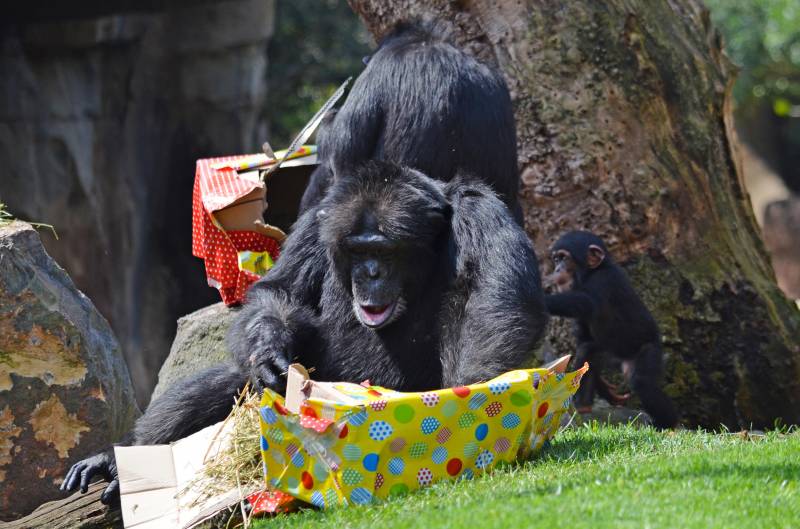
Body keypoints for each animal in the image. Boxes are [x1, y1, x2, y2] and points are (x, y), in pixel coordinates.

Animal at [64, 161, 552, 504]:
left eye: (385, 251)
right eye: (356, 250)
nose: (370, 273)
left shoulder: (479, 209)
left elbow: (496, 298)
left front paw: (470, 403)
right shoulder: (316, 225)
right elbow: (279, 291)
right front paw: (268, 351)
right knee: (231, 379)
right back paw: (117, 462)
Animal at [540, 231, 680, 428]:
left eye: (564, 258)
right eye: (556, 259)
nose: (557, 269)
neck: (591, 272)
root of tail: (623, 360)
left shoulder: (602, 281)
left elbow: (584, 302)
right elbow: (584, 336)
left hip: (650, 349)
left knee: (642, 382)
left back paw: (667, 424)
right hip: (611, 355)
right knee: (589, 350)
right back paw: (588, 401)